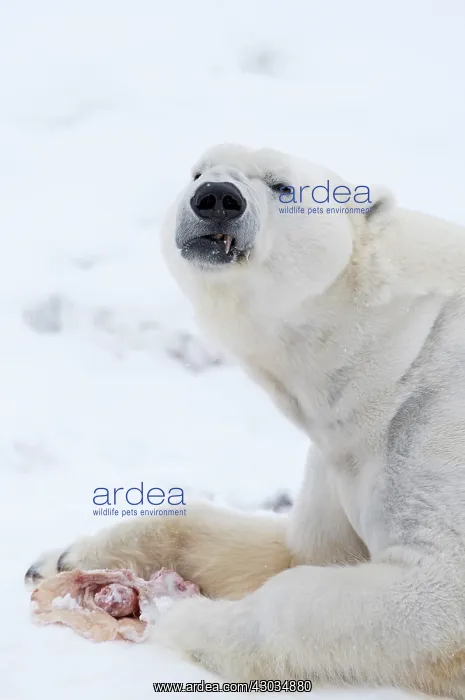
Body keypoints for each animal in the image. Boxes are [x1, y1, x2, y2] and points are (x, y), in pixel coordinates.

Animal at [27, 143, 465, 698]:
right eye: (197, 171)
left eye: (283, 185)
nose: (217, 198)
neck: (393, 351)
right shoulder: (339, 457)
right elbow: (293, 551)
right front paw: (62, 558)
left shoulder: (431, 423)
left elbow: (431, 593)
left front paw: (184, 615)